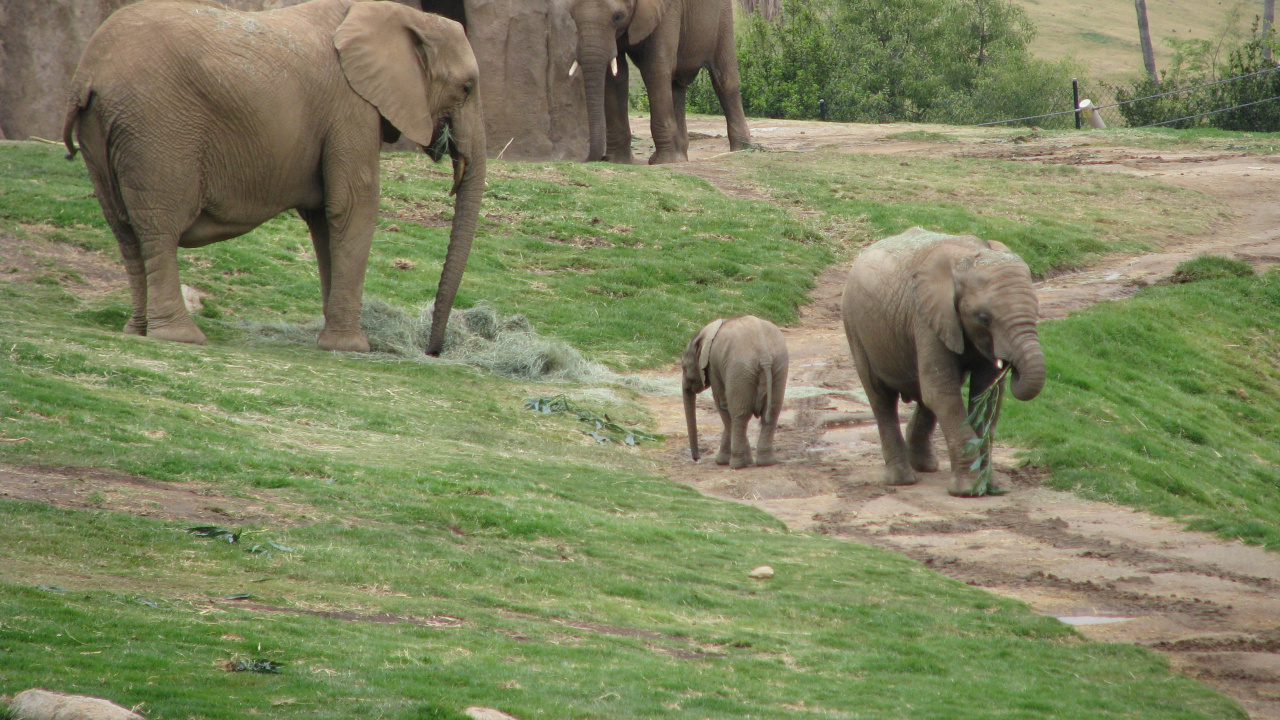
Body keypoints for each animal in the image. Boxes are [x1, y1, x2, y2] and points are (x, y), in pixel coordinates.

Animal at [62, 0, 486, 354]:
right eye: (466, 88)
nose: (433, 351)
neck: (404, 15)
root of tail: (87, 77)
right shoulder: (351, 107)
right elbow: (353, 206)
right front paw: (352, 347)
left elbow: (324, 218)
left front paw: (331, 340)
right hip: (156, 130)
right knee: (159, 228)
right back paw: (180, 337)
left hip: (104, 132)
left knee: (124, 231)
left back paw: (137, 330)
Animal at [569, 0, 750, 164]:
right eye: (572, 16)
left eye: (618, 17)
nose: (596, 158)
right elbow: (615, 74)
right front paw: (617, 161)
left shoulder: (667, 11)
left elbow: (655, 68)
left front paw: (664, 161)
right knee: (676, 85)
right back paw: (681, 156)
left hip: (723, 17)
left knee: (724, 80)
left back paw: (741, 148)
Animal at [682, 315, 788, 468]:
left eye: (684, 367)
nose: (697, 459)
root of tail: (764, 355)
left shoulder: (714, 366)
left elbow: (722, 404)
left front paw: (722, 461)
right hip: (779, 365)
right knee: (772, 412)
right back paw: (766, 462)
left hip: (739, 369)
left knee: (739, 414)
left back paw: (738, 464)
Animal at [840, 228, 1045, 497]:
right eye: (984, 318)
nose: (1012, 367)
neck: (968, 258)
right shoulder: (926, 319)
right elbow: (941, 394)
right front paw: (968, 491)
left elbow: (985, 397)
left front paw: (989, 486)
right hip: (855, 327)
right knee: (881, 398)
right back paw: (902, 479)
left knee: (926, 395)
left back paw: (925, 466)